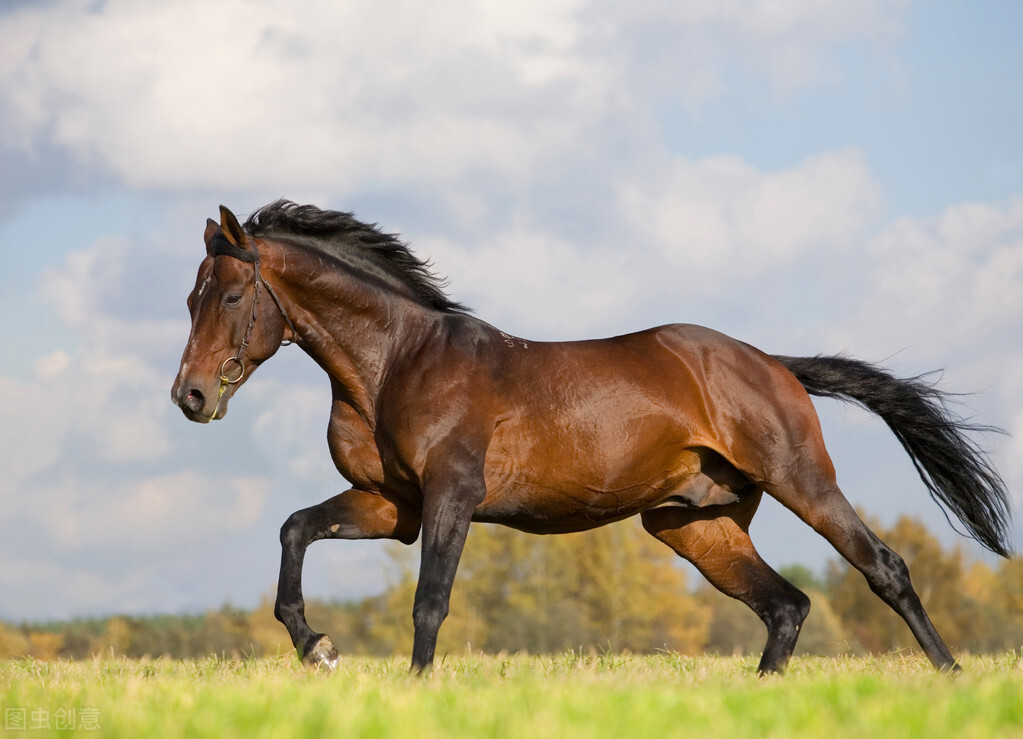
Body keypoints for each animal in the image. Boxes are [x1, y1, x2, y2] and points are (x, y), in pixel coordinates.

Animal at [171, 198, 1010, 671]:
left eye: (233, 294)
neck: (396, 364)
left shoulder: (449, 497)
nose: (190, 395)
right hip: (693, 524)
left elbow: (429, 602)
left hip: (801, 480)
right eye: (189, 297)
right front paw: (316, 646)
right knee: (785, 606)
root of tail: (773, 364)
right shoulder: (390, 505)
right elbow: (294, 529)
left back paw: (949, 678)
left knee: (882, 568)